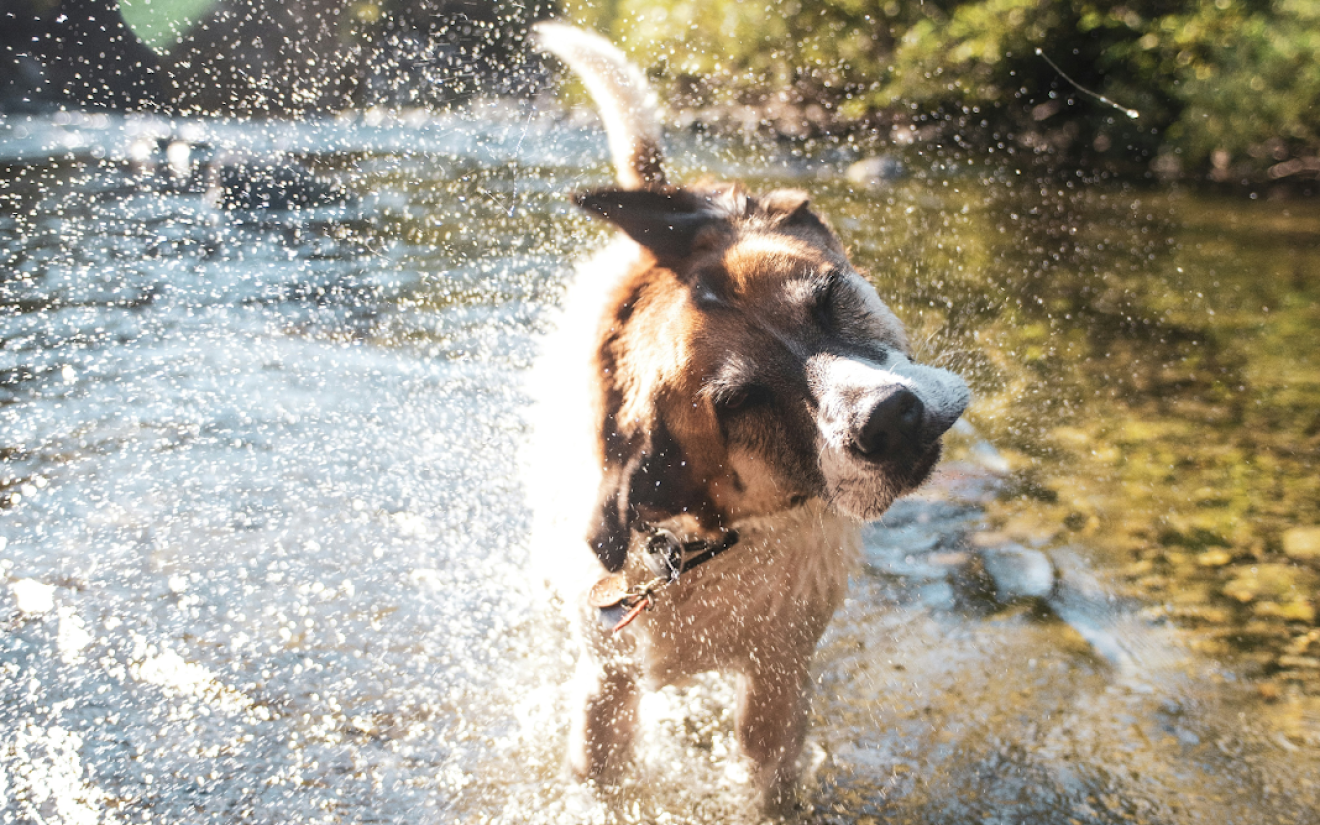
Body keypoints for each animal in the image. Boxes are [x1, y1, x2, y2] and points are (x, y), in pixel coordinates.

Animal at [525, 22, 971, 813]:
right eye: (742, 403)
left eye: (829, 296)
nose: (890, 417)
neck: (698, 543)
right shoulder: (606, 688)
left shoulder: (778, 679)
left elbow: (773, 779)